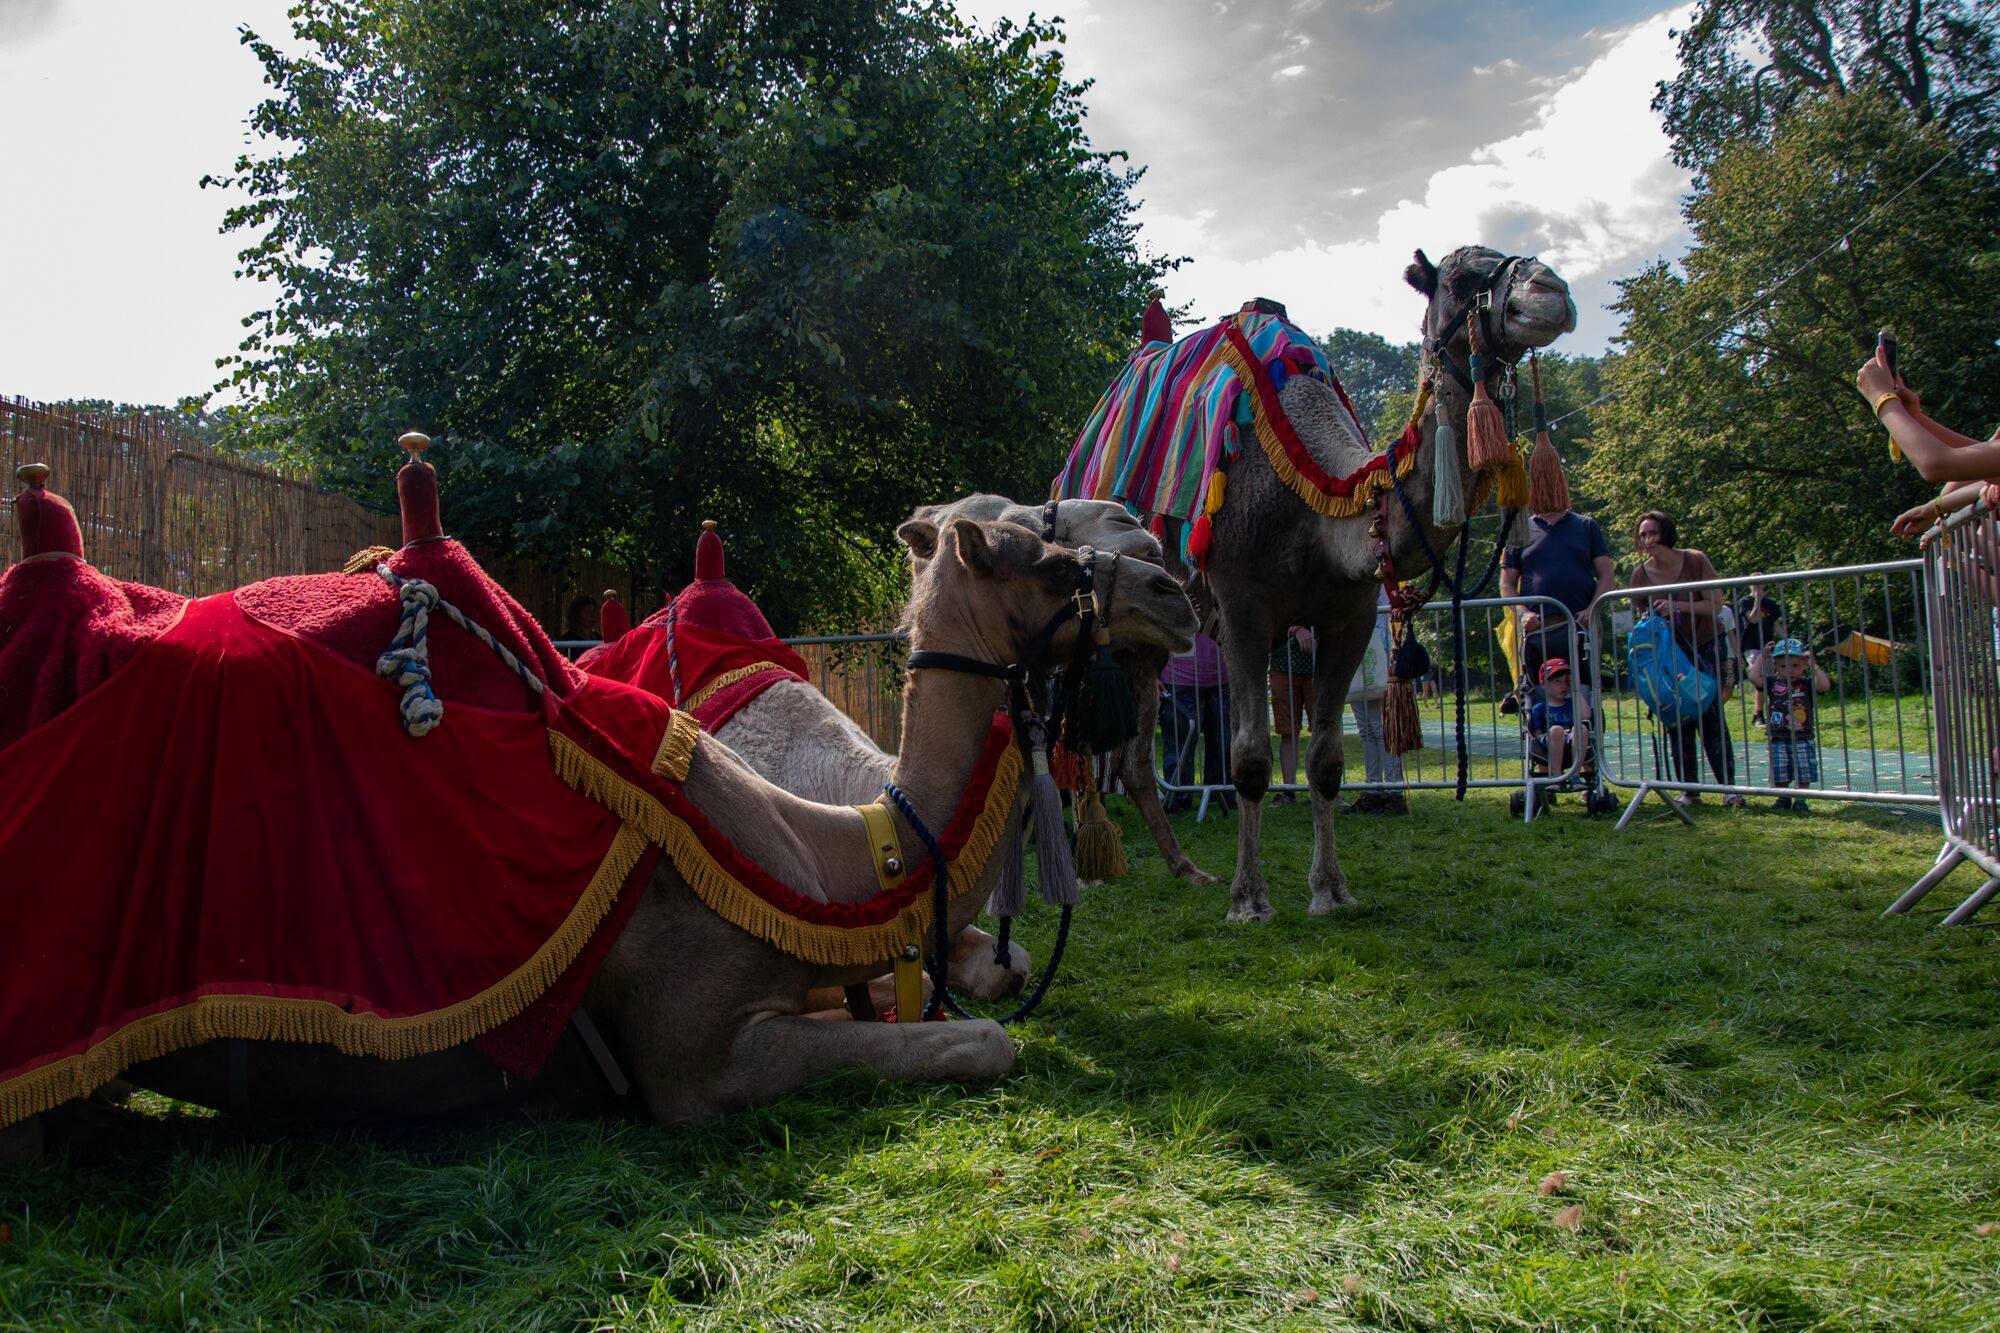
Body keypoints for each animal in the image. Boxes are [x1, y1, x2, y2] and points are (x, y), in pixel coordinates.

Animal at [1191, 247, 1577, 921]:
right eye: (1461, 277)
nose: (1550, 290)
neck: (1316, 509)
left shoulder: (1347, 613)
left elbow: (1324, 759)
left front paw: (1330, 890)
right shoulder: (1242, 606)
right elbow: (1250, 757)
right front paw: (1248, 900)